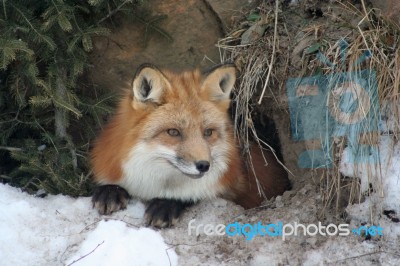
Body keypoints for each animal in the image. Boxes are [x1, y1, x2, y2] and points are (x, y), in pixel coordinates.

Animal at [91, 63, 290, 228]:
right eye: (173, 132)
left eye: (208, 132)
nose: (204, 165)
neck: (153, 179)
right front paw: (110, 192)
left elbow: (193, 195)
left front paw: (167, 204)